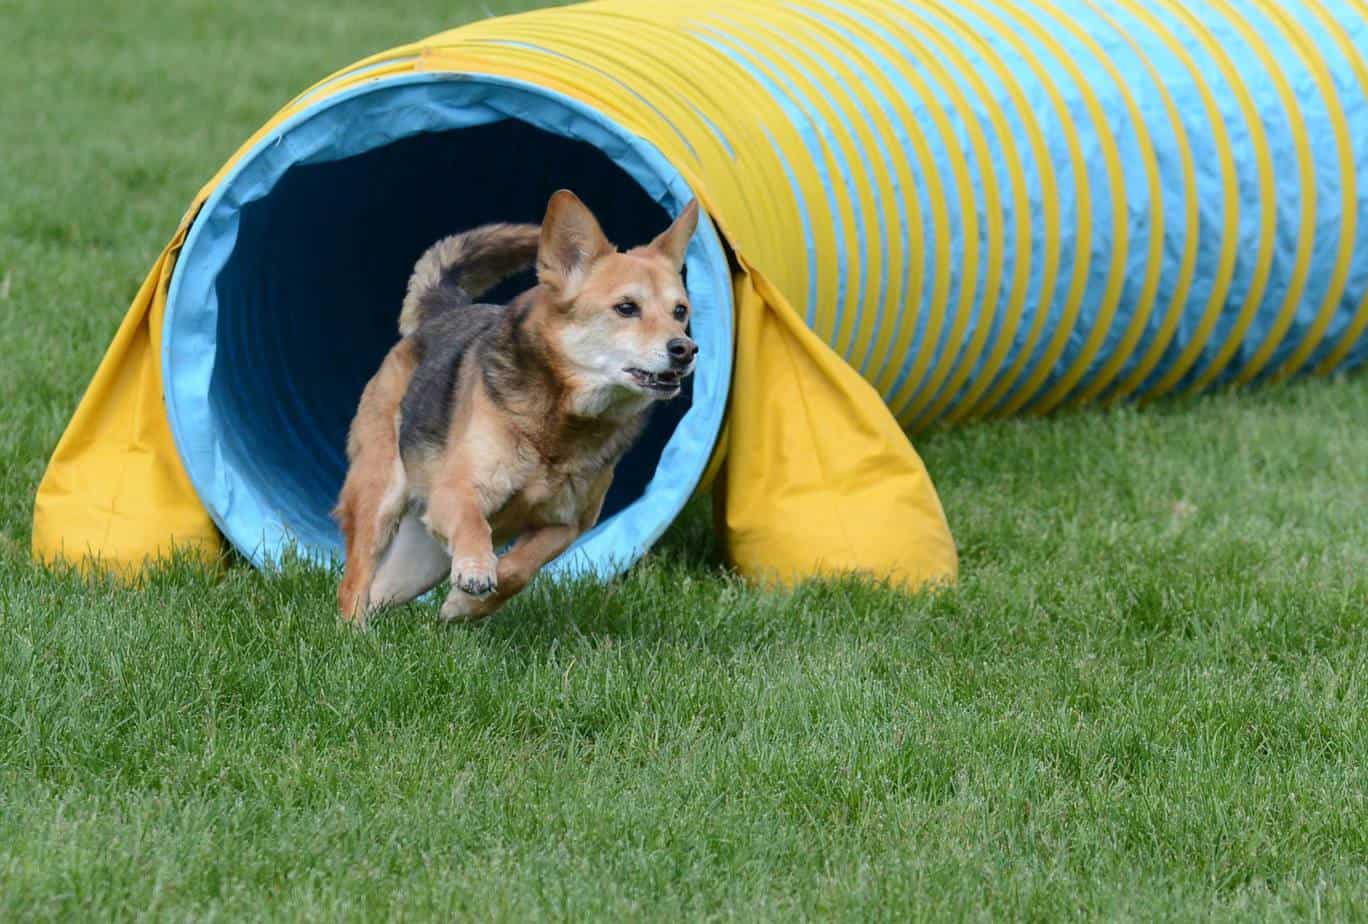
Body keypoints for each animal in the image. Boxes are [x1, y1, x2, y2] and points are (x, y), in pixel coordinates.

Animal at [331, 194, 694, 629]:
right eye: (626, 307)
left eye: (680, 311)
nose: (686, 349)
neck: (560, 426)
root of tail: (442, 314)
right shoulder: (455, 492)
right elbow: (473, 524)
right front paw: (474, 570)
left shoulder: (567, 525)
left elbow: (519, 570)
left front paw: (464, 604)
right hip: (379, 496)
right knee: (355, 582)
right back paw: (354, 633)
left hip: (421, 560)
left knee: (381, 589)